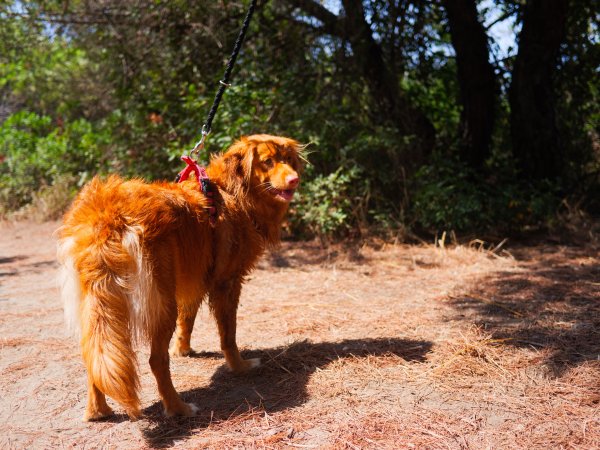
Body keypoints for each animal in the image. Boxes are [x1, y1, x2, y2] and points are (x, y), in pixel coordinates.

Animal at [58, 134, 302, 422]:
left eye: (288, 159)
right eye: (268, 161)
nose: (295, 179)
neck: (232, 192)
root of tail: (107, 216)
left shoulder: (191, 282)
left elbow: (188, 321)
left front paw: (183, 349)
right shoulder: (227, 283)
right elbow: (228, 335)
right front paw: (240, 366)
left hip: (100, 308)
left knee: (94, 354)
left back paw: (98, 410)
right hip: (162, 306)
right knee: (156, 361)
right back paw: (178, 408)